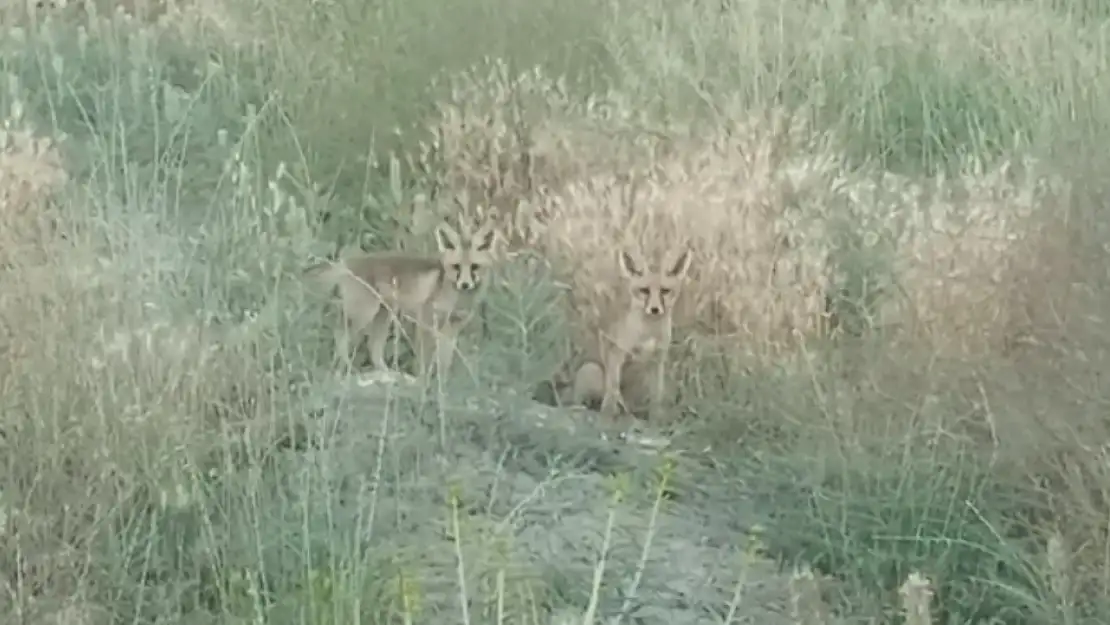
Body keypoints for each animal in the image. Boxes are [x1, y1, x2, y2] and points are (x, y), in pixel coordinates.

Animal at [301, 218, 497, 377]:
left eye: (475, 267)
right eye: (456, 267)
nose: (465, 284)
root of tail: (348, 262)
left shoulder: (452, 328)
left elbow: (444, 363)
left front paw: (443, 388)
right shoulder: (426, 321)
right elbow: (424, 361)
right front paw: (423, 383)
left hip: (383, 316)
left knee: (373, 347)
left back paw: (388, 374)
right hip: (364, 314)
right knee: (340, 334)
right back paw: (347, 368)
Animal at [563, 247, 692, 424]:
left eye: (665, 291)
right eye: (644, 290)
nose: (654, 309)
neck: (648, 333)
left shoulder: (658, 360)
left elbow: (656, 396)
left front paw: (656, 420)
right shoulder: (617, 352)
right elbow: (613, 388)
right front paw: (607, 415)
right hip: (591, 370)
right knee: (586, 400)